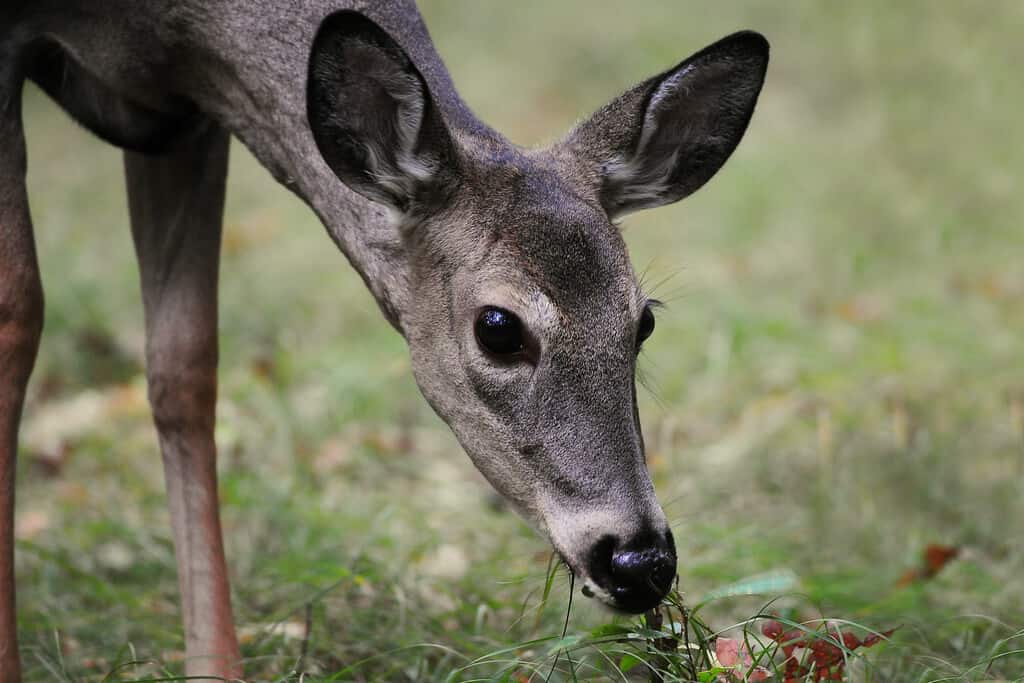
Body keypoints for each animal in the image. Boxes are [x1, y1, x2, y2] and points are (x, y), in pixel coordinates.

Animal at [0, 1, 770, 679]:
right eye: (498, 328)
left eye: (643, 320)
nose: (642, 562)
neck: (162, 27)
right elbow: (19, 311)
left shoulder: (185, 117)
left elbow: (183, 364)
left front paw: (215, 668)